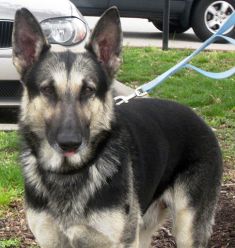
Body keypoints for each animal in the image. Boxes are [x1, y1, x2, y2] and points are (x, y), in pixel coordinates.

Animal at [12, 6, 222, 248]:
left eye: (88, 90)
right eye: (47, 90)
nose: (69, 143)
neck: (69, 173)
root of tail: (199, 118)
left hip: (186, 230)